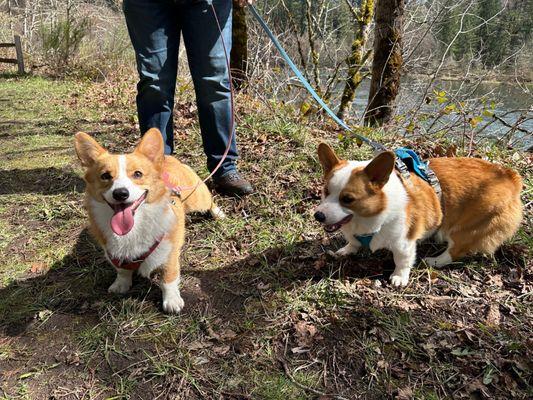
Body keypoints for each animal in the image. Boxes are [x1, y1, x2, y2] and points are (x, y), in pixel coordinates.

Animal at [74, 128, 222, 312]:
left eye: (138, 174)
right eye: (105, 176)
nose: (120, 193)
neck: (136, 224)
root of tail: (167, 157)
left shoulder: (170, 251)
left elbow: (168, 278)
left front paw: (171, 300)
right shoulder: (114, 252)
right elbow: (122, 271)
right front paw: (121, 284)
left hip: (197, 197)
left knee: (209, 200)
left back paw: (218, 213)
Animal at [314, 142, 520, 286]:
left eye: (347, 199)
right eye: (325, 191)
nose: (318, 216)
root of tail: (511, 178)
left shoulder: (404, 243)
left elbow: (402, 261)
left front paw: (398, 278)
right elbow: (353, 242)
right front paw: (346, 250)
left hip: (466, 229)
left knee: (455, 250)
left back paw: (435, 261)